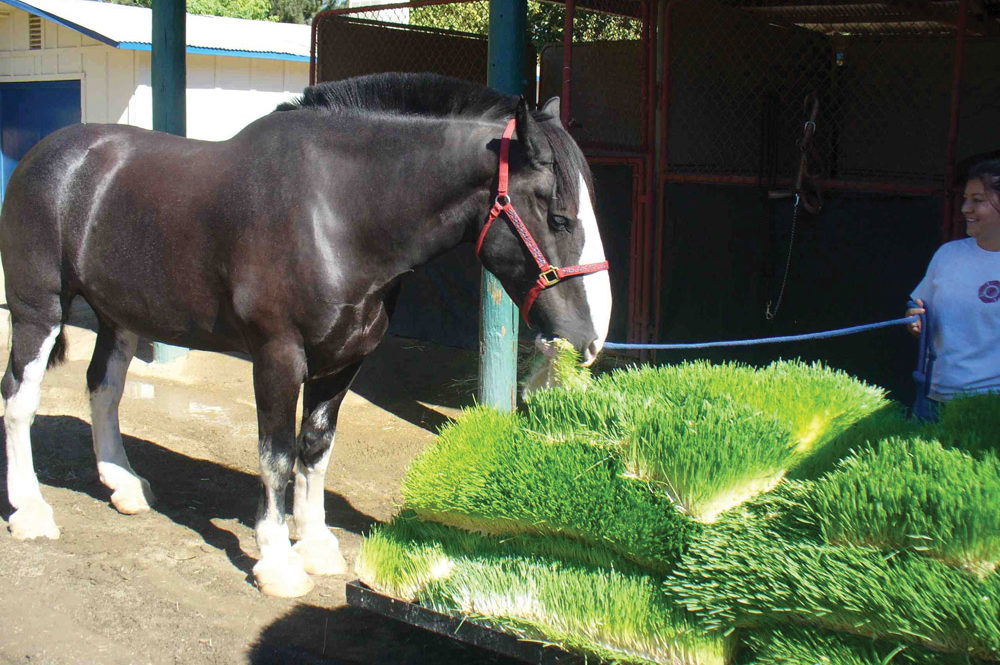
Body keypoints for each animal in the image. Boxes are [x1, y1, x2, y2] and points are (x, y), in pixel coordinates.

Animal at [0, 72, 612, 596]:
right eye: (559, 216)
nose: (592, 340)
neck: (336, 211)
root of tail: (52, 154)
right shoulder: (278, 357)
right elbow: (276, 455)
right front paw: (277, 563)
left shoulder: (344, 359)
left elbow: (315, 448)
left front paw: (316, 545)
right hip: (38, 310)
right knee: (20, 400)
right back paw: (30, 510)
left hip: (120, 315)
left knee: (103, 388)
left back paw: (123, 484)